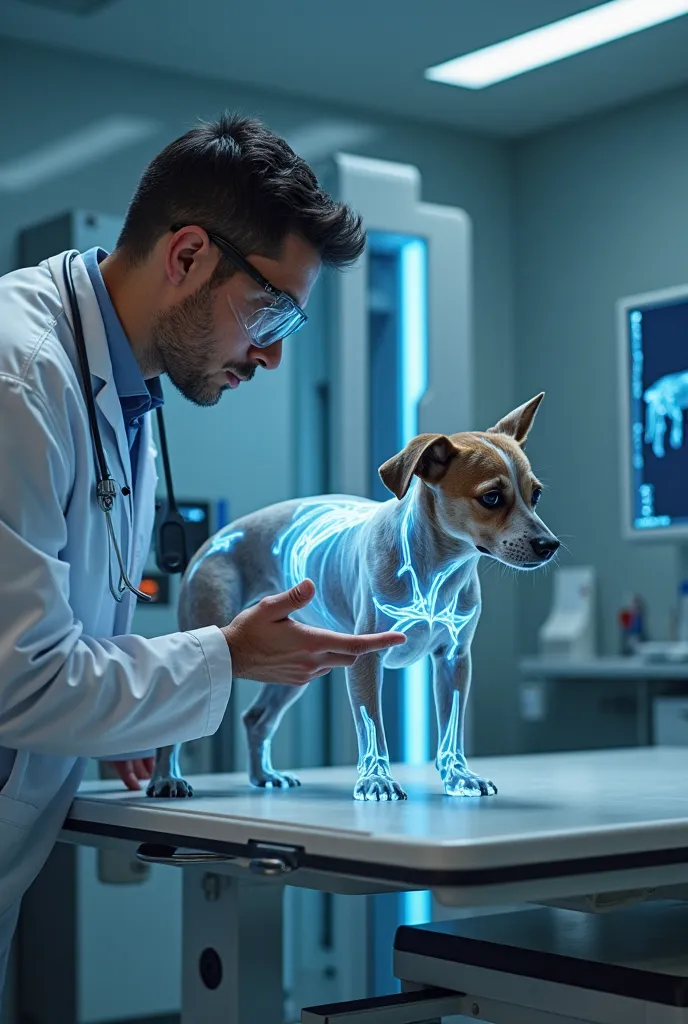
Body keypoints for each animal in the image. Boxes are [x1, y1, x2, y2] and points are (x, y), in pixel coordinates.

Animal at [147, 391, 556, 798]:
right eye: (491, 497)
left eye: (535, 494)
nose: (548, 545)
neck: (436, 573)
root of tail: (214, 539)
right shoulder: (366, 660)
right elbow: (371, 725)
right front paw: (377, 779)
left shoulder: (454, 660)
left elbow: (451, 730)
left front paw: (458, 776)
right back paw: (166, 778)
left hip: (294, 662)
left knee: (256, 718)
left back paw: (264, 776)